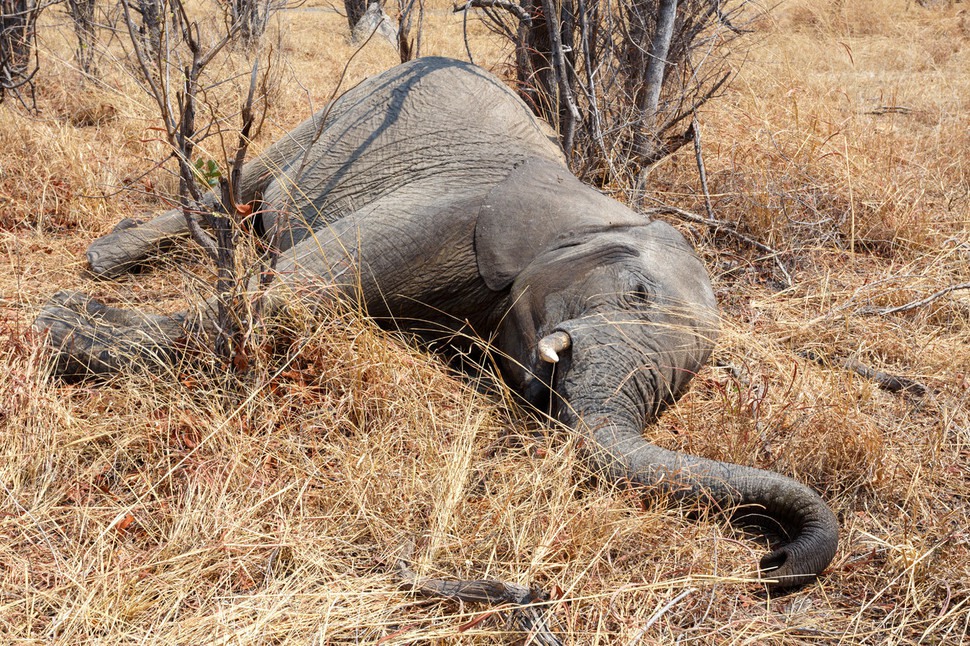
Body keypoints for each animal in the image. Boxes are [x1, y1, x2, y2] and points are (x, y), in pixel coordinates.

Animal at [36, 57, 840, 592]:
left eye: (679, 392)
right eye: (636, 293)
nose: (771, 561)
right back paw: (106, 259)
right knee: (241, 187)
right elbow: (292, 295)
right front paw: (62, 326)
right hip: (344, 109)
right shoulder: (454, 211)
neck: (594, 207)